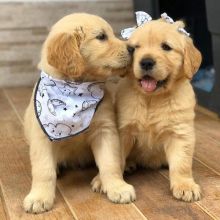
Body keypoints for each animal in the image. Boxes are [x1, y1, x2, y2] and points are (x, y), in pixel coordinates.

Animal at [23, 12, 135, 214]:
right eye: (101, 37)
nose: (132, 48)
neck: (75, 88)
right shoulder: (41, 137)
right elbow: (44, 170)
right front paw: (39, 197)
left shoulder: (105, 130)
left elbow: (110, 162)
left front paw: (117, 187)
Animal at [116, 19, 202, 202]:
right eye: (135, 48)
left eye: (166, 47)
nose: (146, 62)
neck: (152, 99)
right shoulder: (123, 130)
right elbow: (115, 157)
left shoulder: (180, 133)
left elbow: (182, 164)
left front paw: (185, 185)